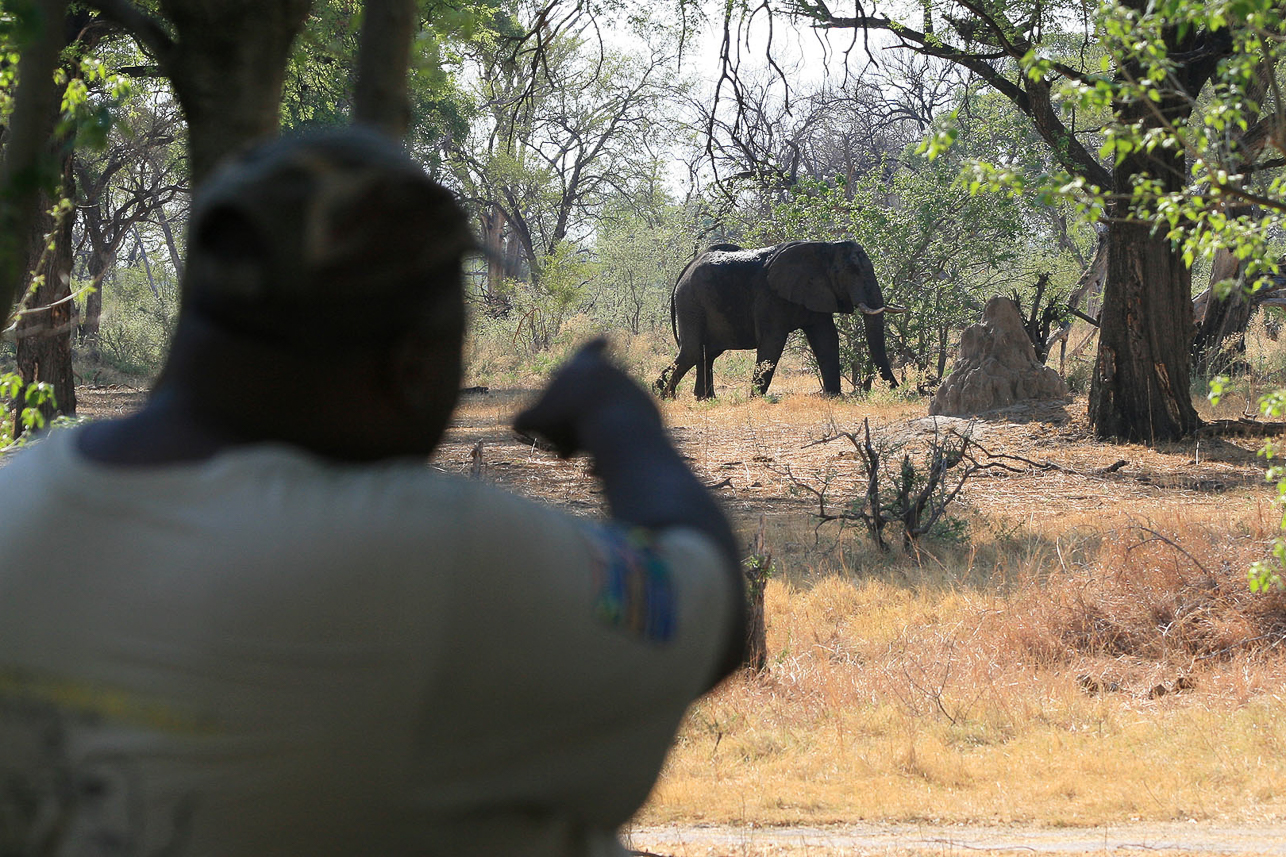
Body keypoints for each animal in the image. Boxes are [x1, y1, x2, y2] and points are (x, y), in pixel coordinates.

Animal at [653, 240, 905, 396]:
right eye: (852, 271)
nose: (899, 387)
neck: (824, 247)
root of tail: (685, 270)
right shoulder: (769, 296)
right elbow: (772, 343)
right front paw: (755, 398)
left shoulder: (816, 293)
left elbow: (826, 340)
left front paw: (834, 395)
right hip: (691, 303)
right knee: (693, 351)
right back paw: (663, 395)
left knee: (707, 354)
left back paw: (704, 399)